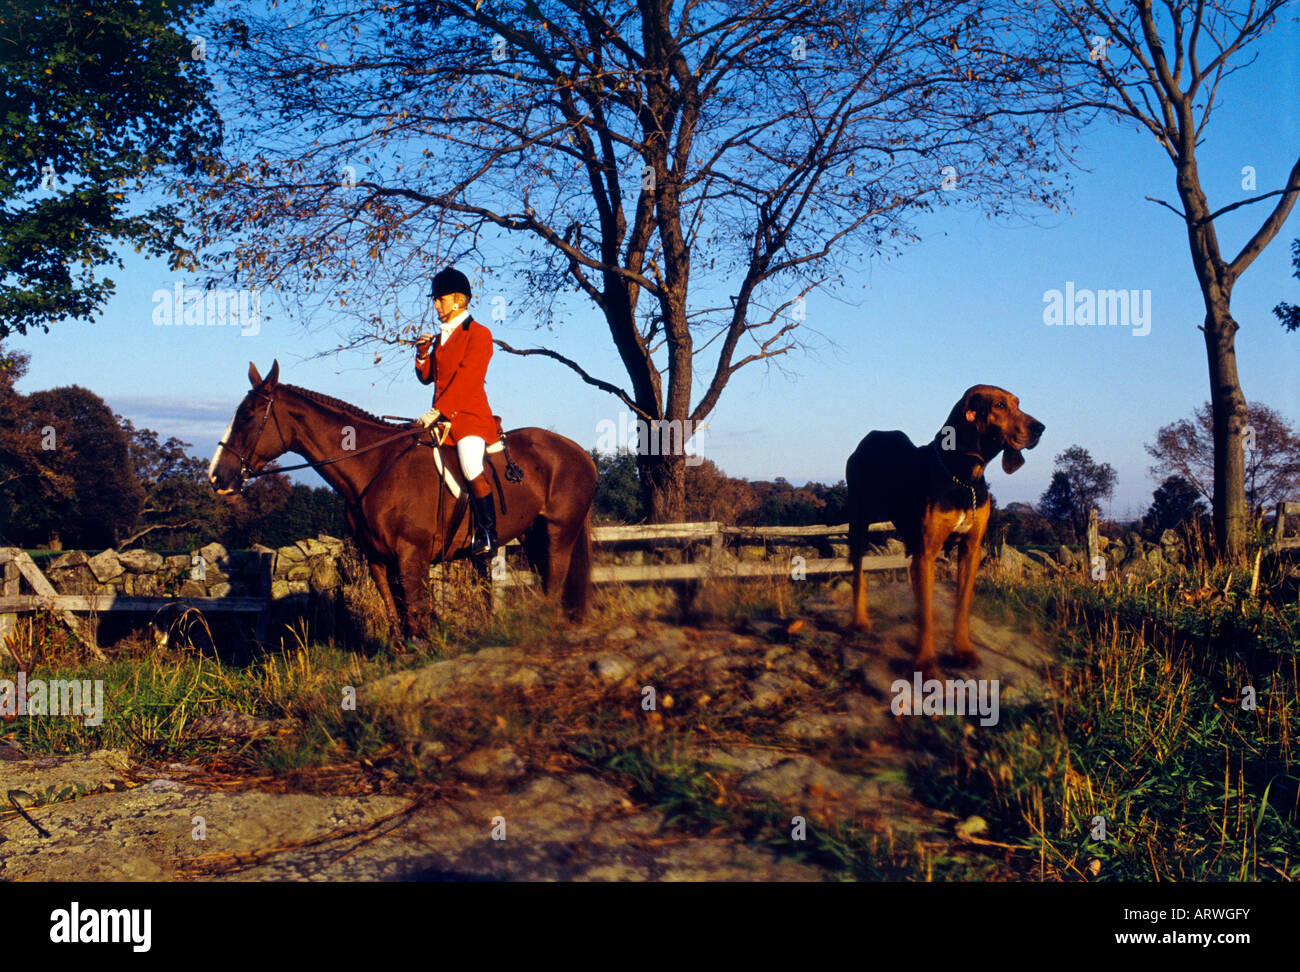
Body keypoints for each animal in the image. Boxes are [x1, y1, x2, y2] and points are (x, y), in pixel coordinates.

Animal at [208, 358, 598, 644]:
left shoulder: (412, 556)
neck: (374, 467)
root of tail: (578, 451)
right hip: (533, 535)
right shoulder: (379, 560)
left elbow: (415, 611)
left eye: (247, 417)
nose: (217, 478)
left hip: (558, 533)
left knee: (555, 582)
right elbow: (396, 612)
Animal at [842, 384, 1045, 675]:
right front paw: (925, 662)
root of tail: (873, 435)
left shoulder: (971, 550)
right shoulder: (926, 552)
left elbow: (961, 607)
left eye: (1017, 403)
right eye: (999, 405)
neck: (964, 477)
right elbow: (925, 615)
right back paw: (859, 621)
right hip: (859, 522)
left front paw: (963, 651)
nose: (1041, 428)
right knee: (859, 575)